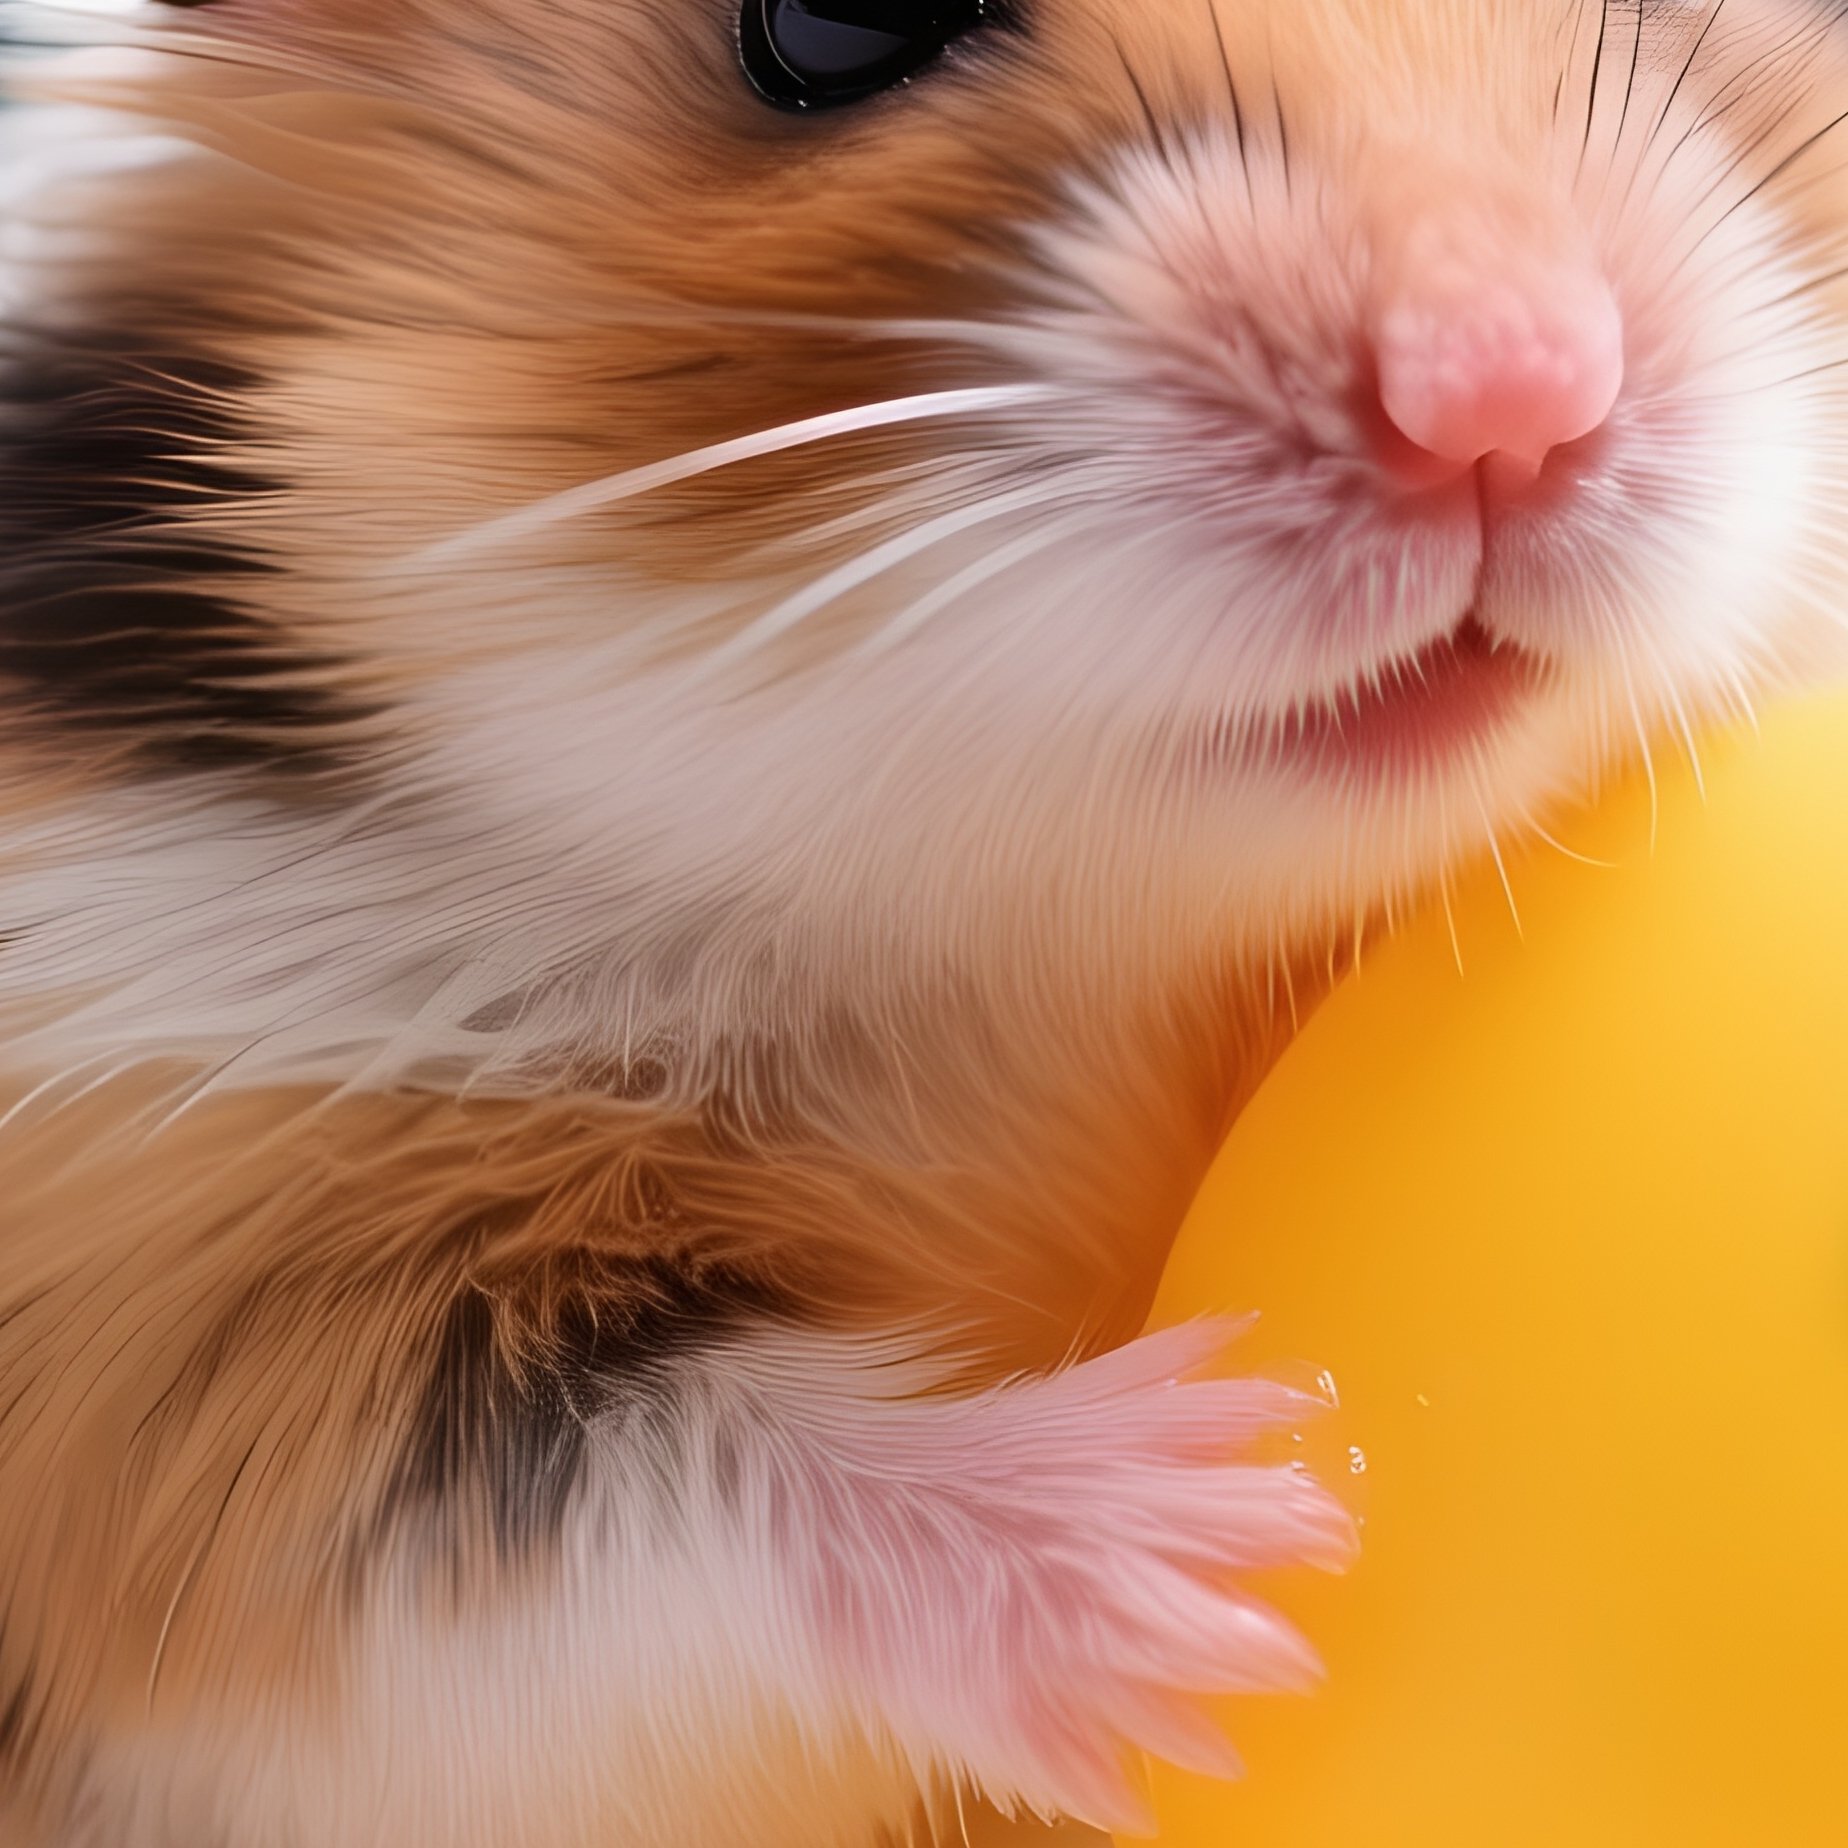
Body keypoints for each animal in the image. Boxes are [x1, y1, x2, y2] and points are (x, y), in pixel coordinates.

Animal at [1, 1, 1845, 1843]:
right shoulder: (184, 1342)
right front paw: (1256, 1533)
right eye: (828, 31)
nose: (1509, 406)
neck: (1056, 947)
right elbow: (590, 1505)